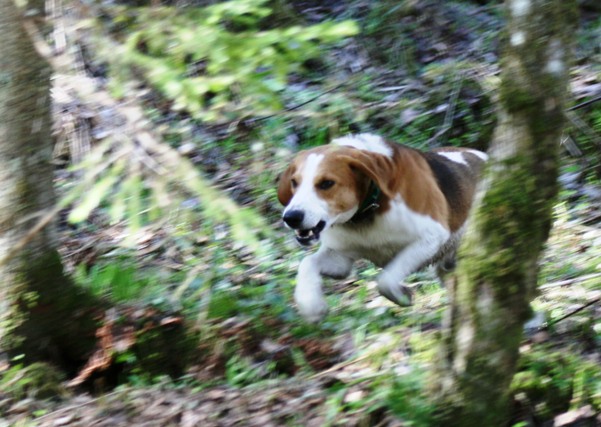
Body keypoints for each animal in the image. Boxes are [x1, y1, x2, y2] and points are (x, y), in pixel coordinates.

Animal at [276, 132, 488, 322]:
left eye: (327, 183)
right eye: (294, 182)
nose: (291, 217)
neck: (367, 212)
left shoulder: (431, 237)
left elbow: (385, 280)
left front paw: (402, 295)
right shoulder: (340, 258)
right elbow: (307, 263)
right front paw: (311, 305)